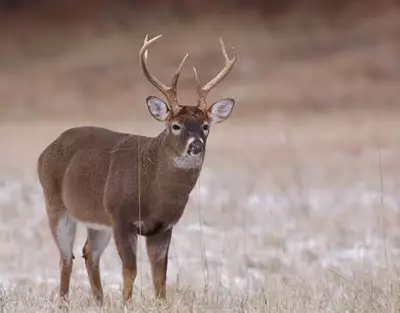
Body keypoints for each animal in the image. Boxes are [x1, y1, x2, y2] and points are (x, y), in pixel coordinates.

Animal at [36, 34, 238, 304]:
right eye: (175, 125)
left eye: (205, 126)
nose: (196, 145)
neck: (155, 191)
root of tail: (45, 151)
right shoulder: (122, 217)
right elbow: (130, 269)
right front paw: (126, 304)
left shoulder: (163, 226)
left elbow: (160, 276)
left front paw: (160, 304)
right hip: (56, 204)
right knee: (66, 258)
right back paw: (65, 302)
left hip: (98, 219)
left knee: (89, 253)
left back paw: (100, 302)